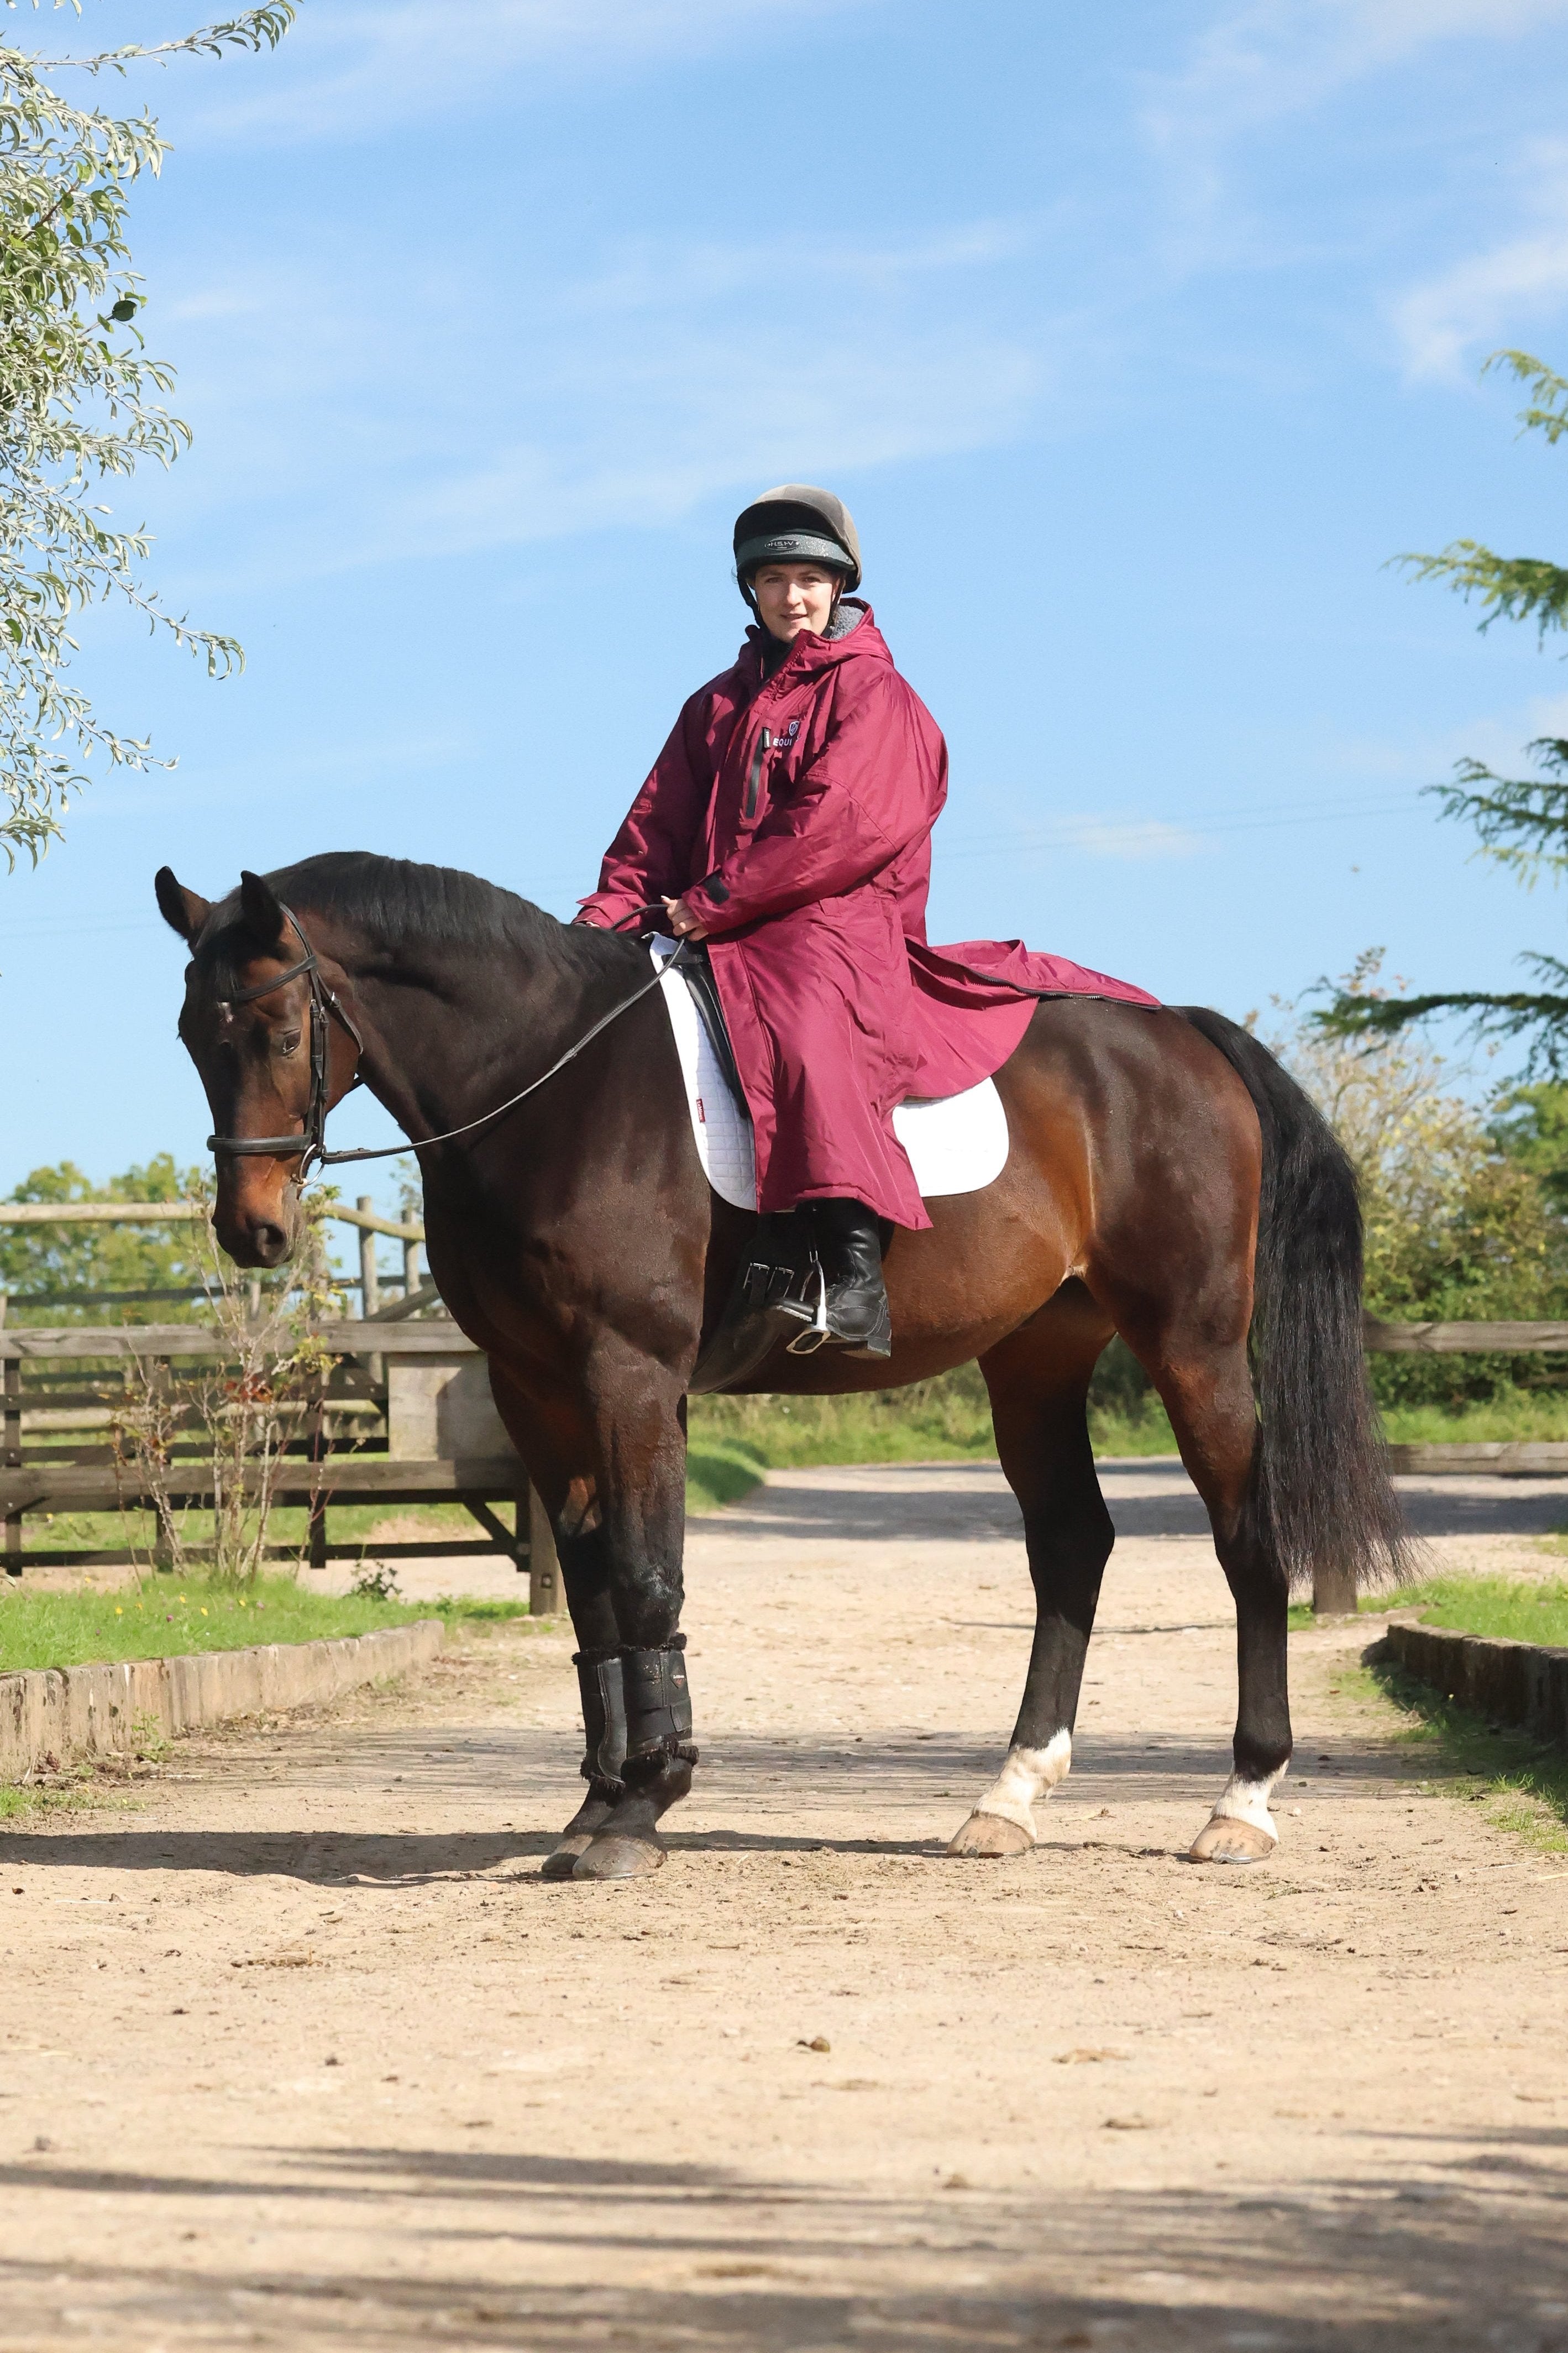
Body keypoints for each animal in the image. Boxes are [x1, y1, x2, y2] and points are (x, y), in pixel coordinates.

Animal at [153, 850, 1404, 1883]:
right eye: (190, 1039)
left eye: (275, 1033)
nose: (250, 1231)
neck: (548, 1083)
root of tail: (1182, 1031)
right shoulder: (536, 1387)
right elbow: (594, 1595)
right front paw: (597, 1802)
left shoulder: (628, 1374)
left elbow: (647, 1578)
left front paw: (639, 1812)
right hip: (1036, 1361)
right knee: (1069, 1548)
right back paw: (1006, 1799)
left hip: (1191, 1344)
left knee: (1246, 1541)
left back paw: (1239, 1803)